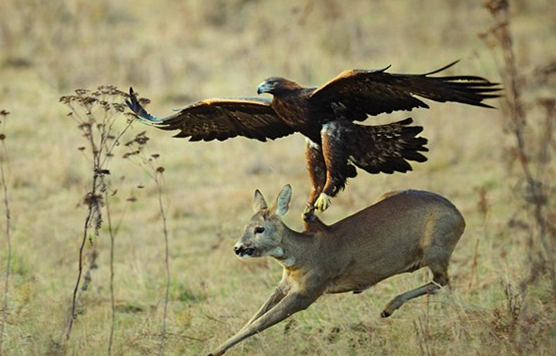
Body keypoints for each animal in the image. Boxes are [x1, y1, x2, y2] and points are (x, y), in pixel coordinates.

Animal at [208, 185, 464, 354]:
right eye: (246, 226)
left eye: (259, 229)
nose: (238, 248)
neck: (303, 254)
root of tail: (460, 218)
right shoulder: (285, 284)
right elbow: (255, 316)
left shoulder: (309, 290)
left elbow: (260, 322)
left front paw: (214, 351)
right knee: (441, 281)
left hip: (436, 248)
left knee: (442, 280)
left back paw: (388, 307)